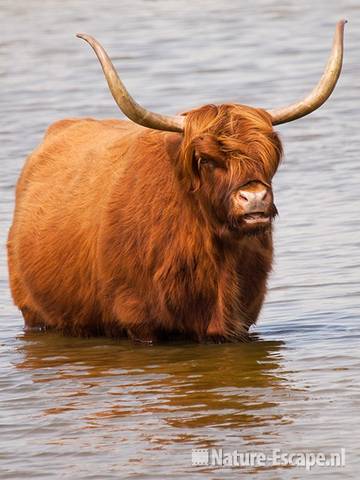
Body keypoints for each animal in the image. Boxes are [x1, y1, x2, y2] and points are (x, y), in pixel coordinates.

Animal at [7, 21, 346, 342]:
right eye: (206, 160)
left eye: (269, 156)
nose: (254, 198)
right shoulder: (139, 321)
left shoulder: (241, 320)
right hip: (34, 313)